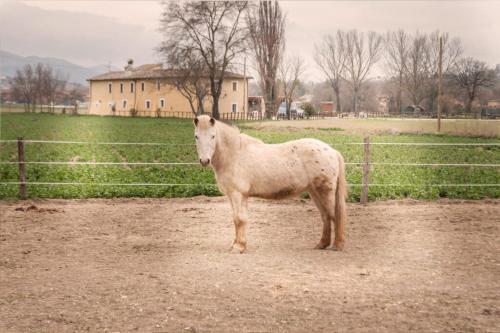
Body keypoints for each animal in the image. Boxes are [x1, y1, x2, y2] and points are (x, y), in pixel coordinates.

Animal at [193, 115, 346, 253]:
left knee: (334, 216)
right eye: (196, 136)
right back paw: (322, 244)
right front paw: (239, 245)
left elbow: (239, 219)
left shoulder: (237, 194)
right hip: (315, 192)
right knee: (325, 216)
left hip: (325, 192)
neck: (235, 155)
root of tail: (332, 151)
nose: (205, 160)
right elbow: (240, 219)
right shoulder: (239, 196)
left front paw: (238, 247)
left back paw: (337, 246)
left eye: (213, 136)